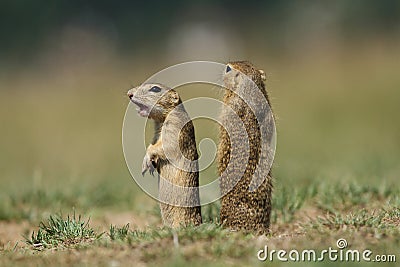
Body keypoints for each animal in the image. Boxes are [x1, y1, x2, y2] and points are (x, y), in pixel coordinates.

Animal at [127, 84, 203, 228]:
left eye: (155, 89)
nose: (129, 94)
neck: (162, 120)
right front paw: (151, 165)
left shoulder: (175, 126)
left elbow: (166, 145)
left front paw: (146, 161)